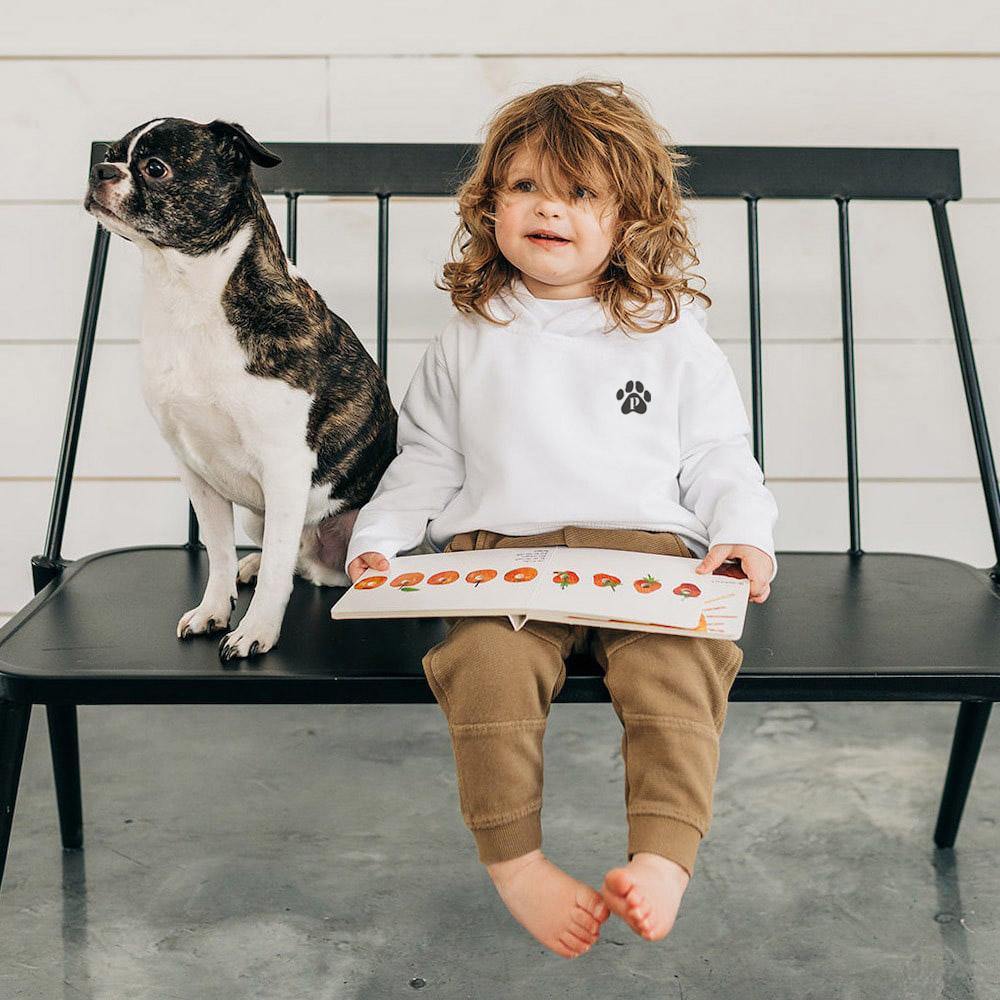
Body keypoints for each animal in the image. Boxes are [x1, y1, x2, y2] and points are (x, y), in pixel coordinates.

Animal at [82, 117, 396, 660]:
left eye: (156, 168)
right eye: (111, 154)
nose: (101, 170)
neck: (187, 295)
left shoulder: (285, 466)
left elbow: (274, 573)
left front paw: (256, 630)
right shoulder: (197, 471)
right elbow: (218, 551)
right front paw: (214, 609)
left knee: (295, 559)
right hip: (257, 514)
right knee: (284, 554)